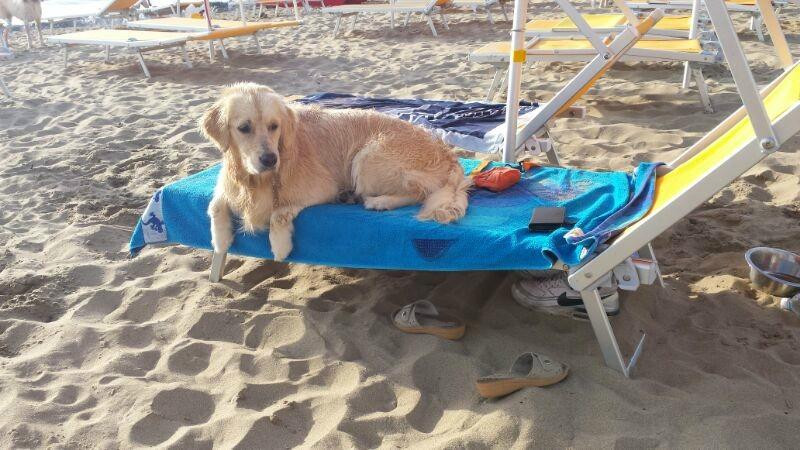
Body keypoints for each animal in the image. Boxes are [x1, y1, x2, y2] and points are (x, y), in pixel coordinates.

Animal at [203, 82, 472, 262]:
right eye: (244, 128)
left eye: (274, 126)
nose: (270, 159)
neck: (256, 180)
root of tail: (448, 153)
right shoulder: (227, 183)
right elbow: (215, 205)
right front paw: (220, 239)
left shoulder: (322, 187)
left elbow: (277, 214)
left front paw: (279, 245)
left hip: (367, 156)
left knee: (418, 193)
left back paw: (380, 202)